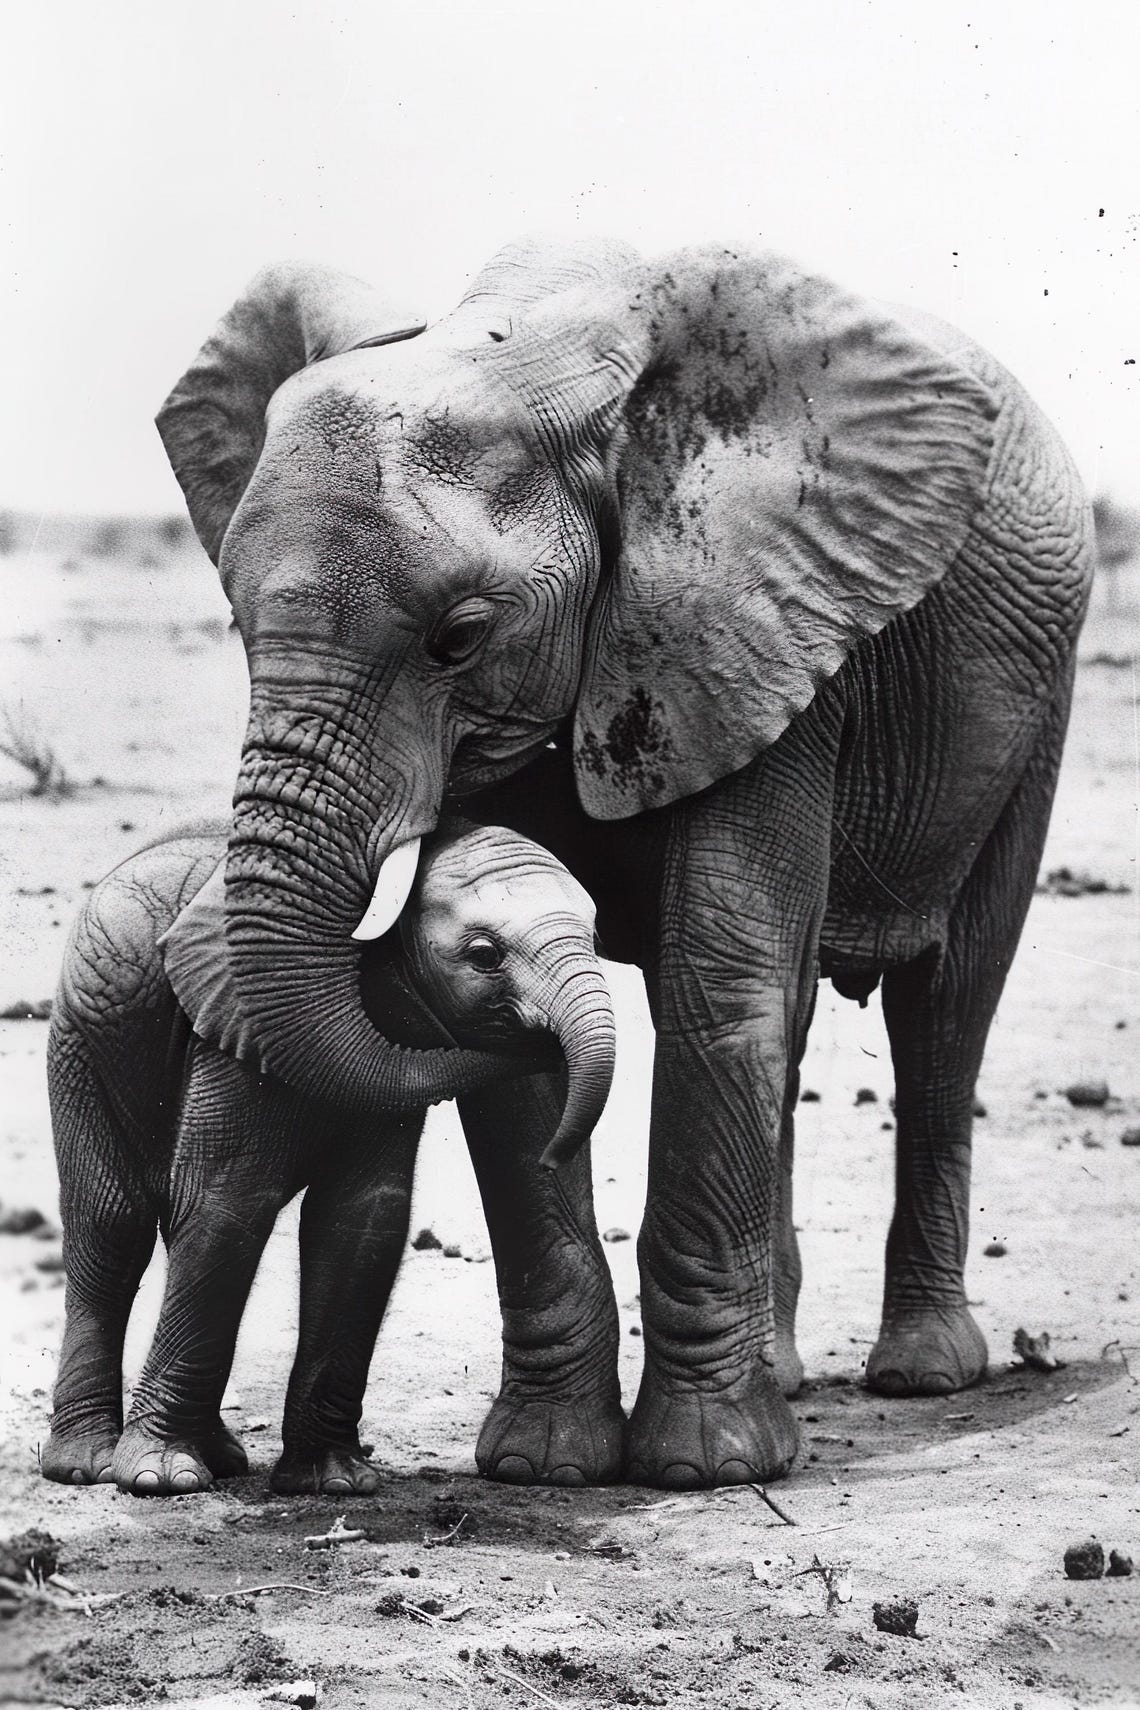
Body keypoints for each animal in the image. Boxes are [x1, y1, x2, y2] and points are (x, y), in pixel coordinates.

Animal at [43, 817, 614, 1495]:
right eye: (483, 956)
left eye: (599, 938)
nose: (552, 1155)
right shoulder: (235, 1033)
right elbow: (225, 1206)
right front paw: (161, 1478)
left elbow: (362, 1217)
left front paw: (333, 1482)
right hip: (80, 1041)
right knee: (111, 1225)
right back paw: (86, 1466)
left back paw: (222, 1458)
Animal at [155, 238, 1093, 1489]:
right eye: (237, 626)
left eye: (459, 637)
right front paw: (547, 1466)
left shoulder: (763, 629)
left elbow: (717, 983)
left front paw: (706, 1470)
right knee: (801, 1017)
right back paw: (787, 1374)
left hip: (1034, 704)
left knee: (946, 1007)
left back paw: (924, 1374)